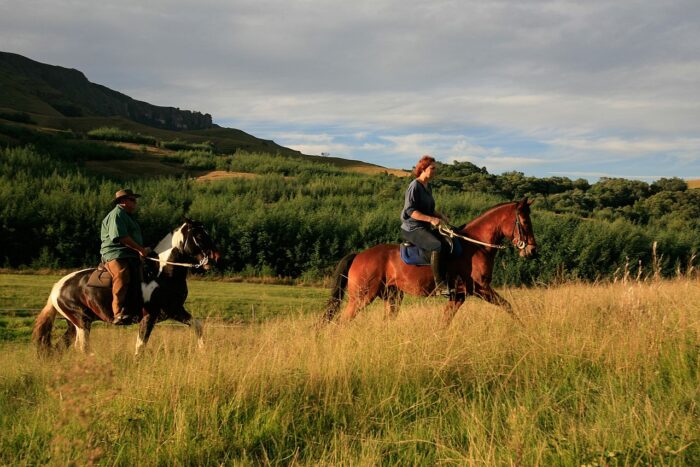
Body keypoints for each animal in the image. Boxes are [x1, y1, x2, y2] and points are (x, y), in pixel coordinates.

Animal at [31, 218, 219, 356]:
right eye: (199, 236)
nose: (216, 257)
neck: (160, 273)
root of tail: (57, 287)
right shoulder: (149, 316)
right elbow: (140, 346)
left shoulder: (175, 310)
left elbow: (198, 325)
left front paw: (203, 351)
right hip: (81, 322)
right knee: (82, 347)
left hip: (73, 324)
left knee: (61, 347)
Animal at [322, 199, 536, 328]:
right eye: (525, 222)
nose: (532, 250)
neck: (476, 245)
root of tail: (359, 255)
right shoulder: (480, 288)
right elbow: (508, 306)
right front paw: (524, 327)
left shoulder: (459, 295)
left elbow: (445, 321)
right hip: (362, 297)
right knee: (341, 322)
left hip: (392, 296)